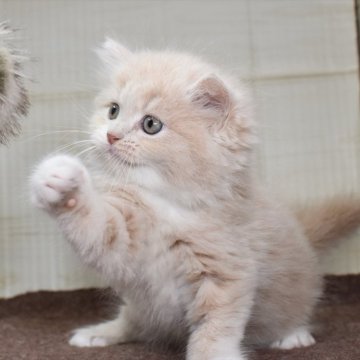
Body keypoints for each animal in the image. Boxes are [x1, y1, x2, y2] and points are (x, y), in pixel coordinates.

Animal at [29, 39, 360, 360]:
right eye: (113, 110)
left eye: (151, 125)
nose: (111, 136)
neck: (168, 207)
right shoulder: (124, 241)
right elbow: (97, 227)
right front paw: (58, 181)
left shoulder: (226, 273)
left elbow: (214, 328)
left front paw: (212, 354)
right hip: (142, 305)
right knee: (133, 322)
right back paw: (99, 333)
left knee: (295, 312)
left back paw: (293, 335)